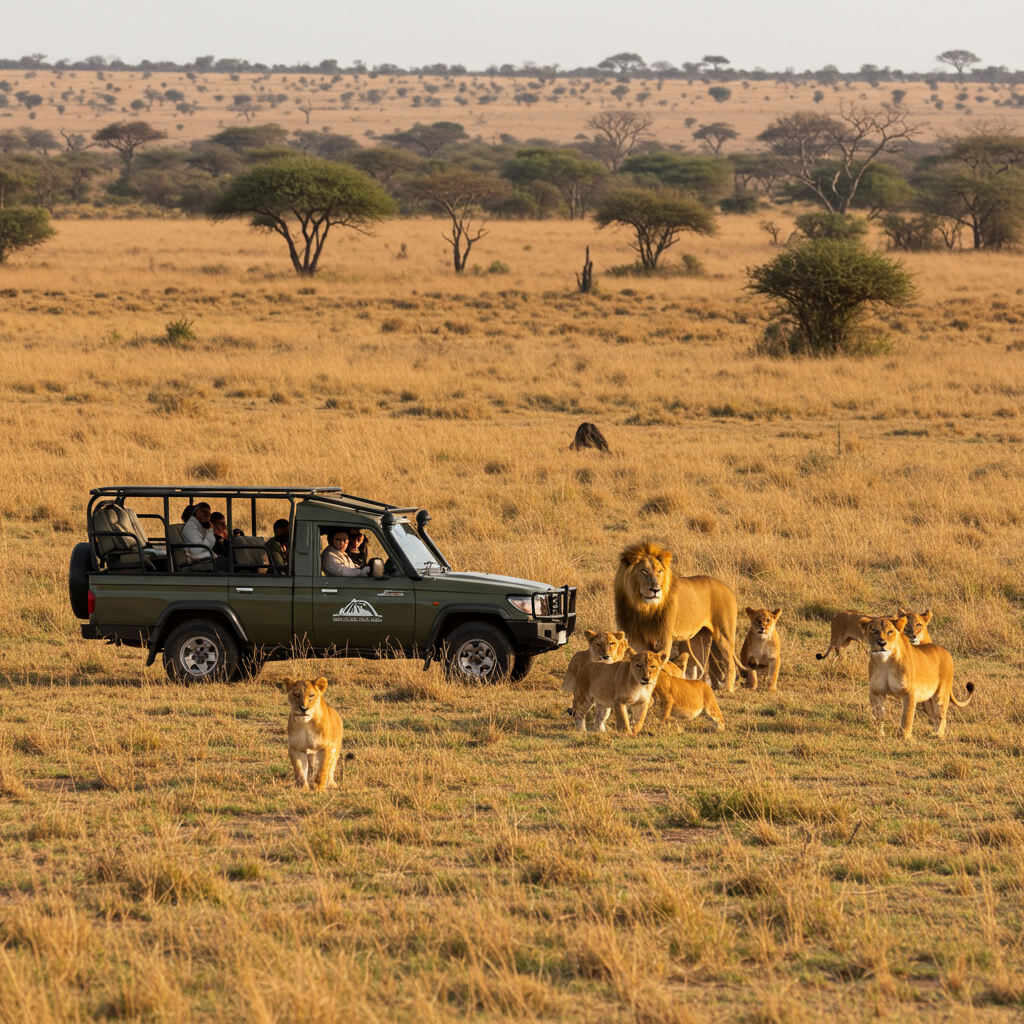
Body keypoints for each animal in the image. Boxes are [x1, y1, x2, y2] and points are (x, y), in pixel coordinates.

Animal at [610, 540, 741, 692]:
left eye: (659, 571)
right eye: (644, 571)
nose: (656, 590)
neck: (642, 607)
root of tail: (728, 589)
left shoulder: (663, 637)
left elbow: (658, 662)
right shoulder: (637, 637)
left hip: (723, 634)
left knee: (730, 662)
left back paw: (727, 688)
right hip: (699, 638)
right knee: (699, 666)